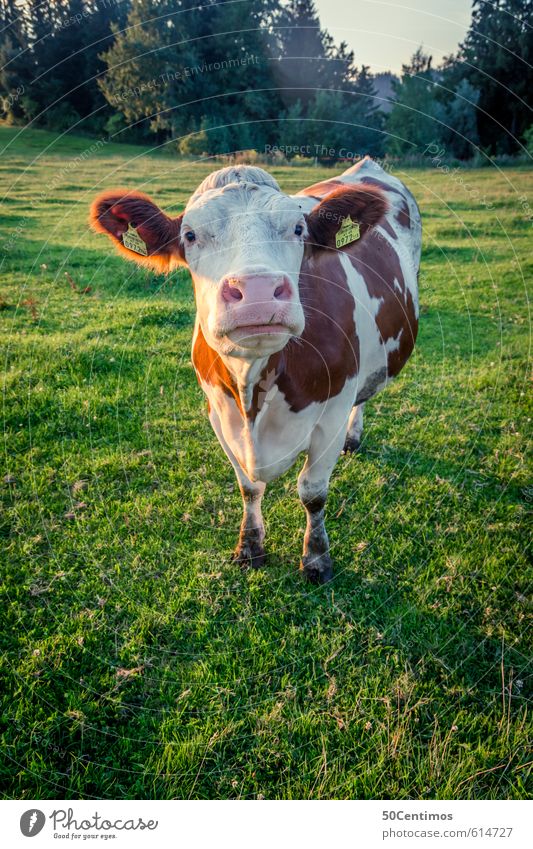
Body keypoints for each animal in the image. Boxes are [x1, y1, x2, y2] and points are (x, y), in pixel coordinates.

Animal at [89, 156, 420, 584]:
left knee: (363, 397)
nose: (258, 291)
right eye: (190, 235)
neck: (253, 386)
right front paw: (250, 546)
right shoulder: (217, 410)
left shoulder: (331, 412)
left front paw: (316, 559)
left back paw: (354, 436)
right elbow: (248, 487)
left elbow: (313, 492)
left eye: (298, 229)